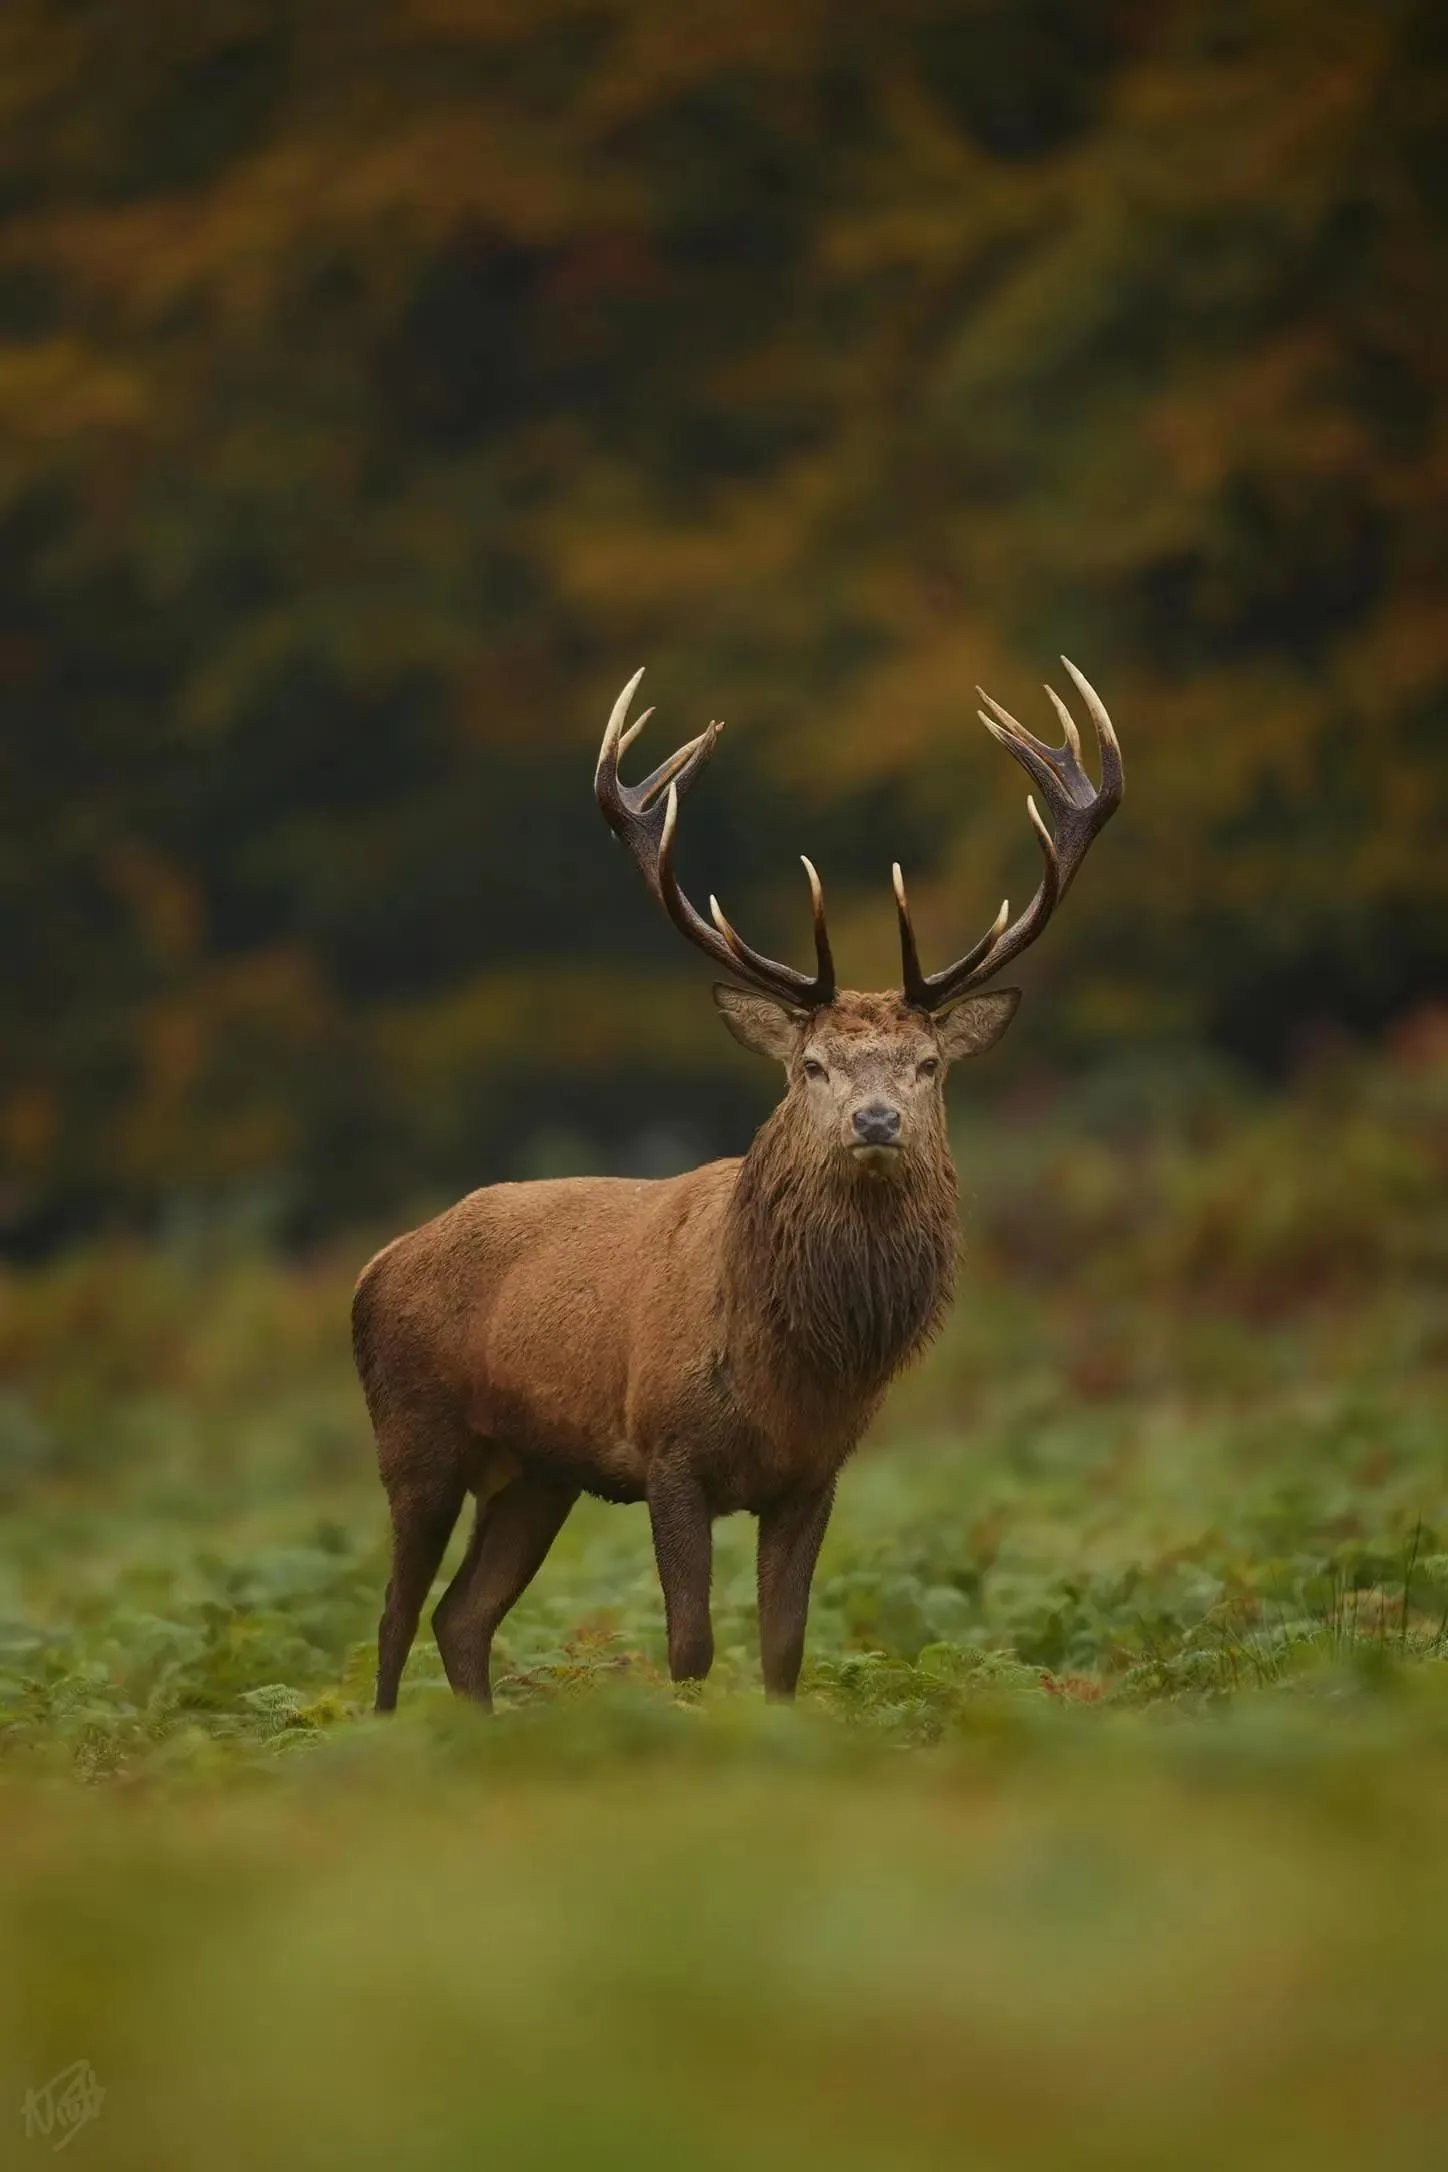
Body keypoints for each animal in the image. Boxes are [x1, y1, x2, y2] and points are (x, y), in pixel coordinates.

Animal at [353, 660, 1122, 1710]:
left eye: (928, 1066)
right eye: (811, 1065)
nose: (874, 1122)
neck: (791, 1367)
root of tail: (376, 1264)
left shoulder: (814, 1473)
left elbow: (784, 1647)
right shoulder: (668, 1451)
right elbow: (690, 1644)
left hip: (537, 1473)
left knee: (459, 1616)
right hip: (414, 1437)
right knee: (393, 1617)